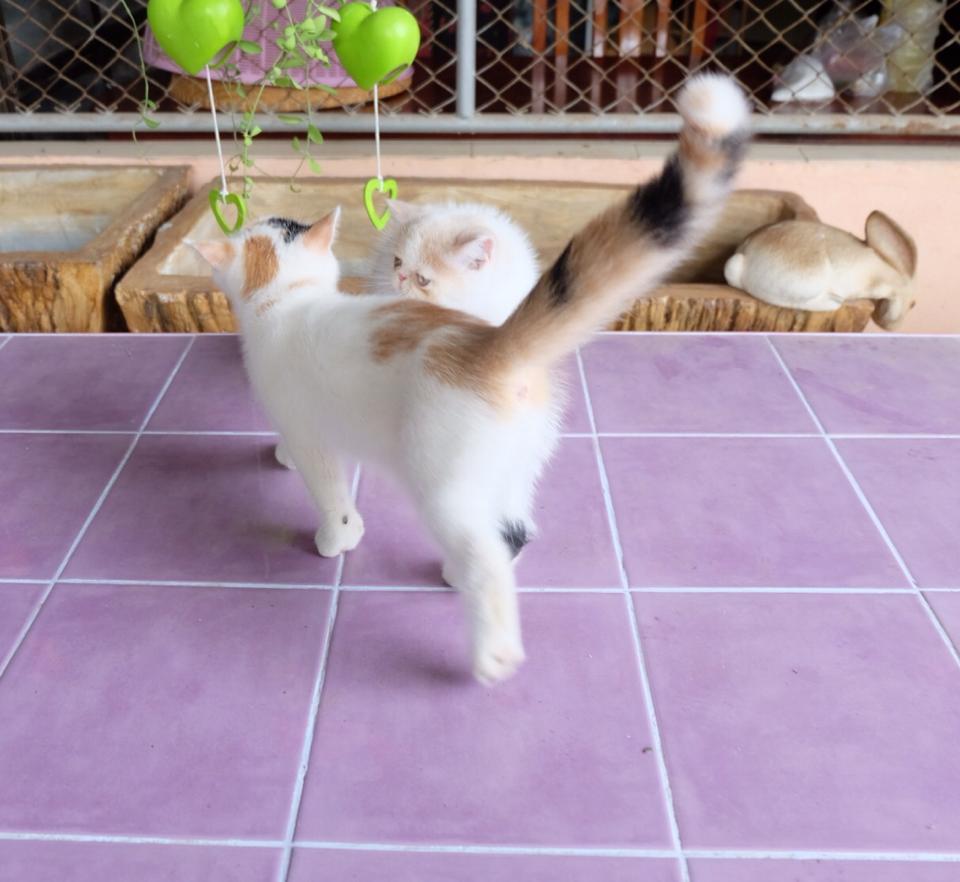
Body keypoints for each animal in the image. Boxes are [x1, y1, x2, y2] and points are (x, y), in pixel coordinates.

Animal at [192, 74, 750, 684]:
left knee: (486, 557)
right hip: (515, 464)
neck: (290, 300)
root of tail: (493, 342)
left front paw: (337, 537)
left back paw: (491, 648)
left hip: (442, 482)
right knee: (512, 528)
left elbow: (329, 491)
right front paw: (285, 460)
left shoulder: (308, 428)